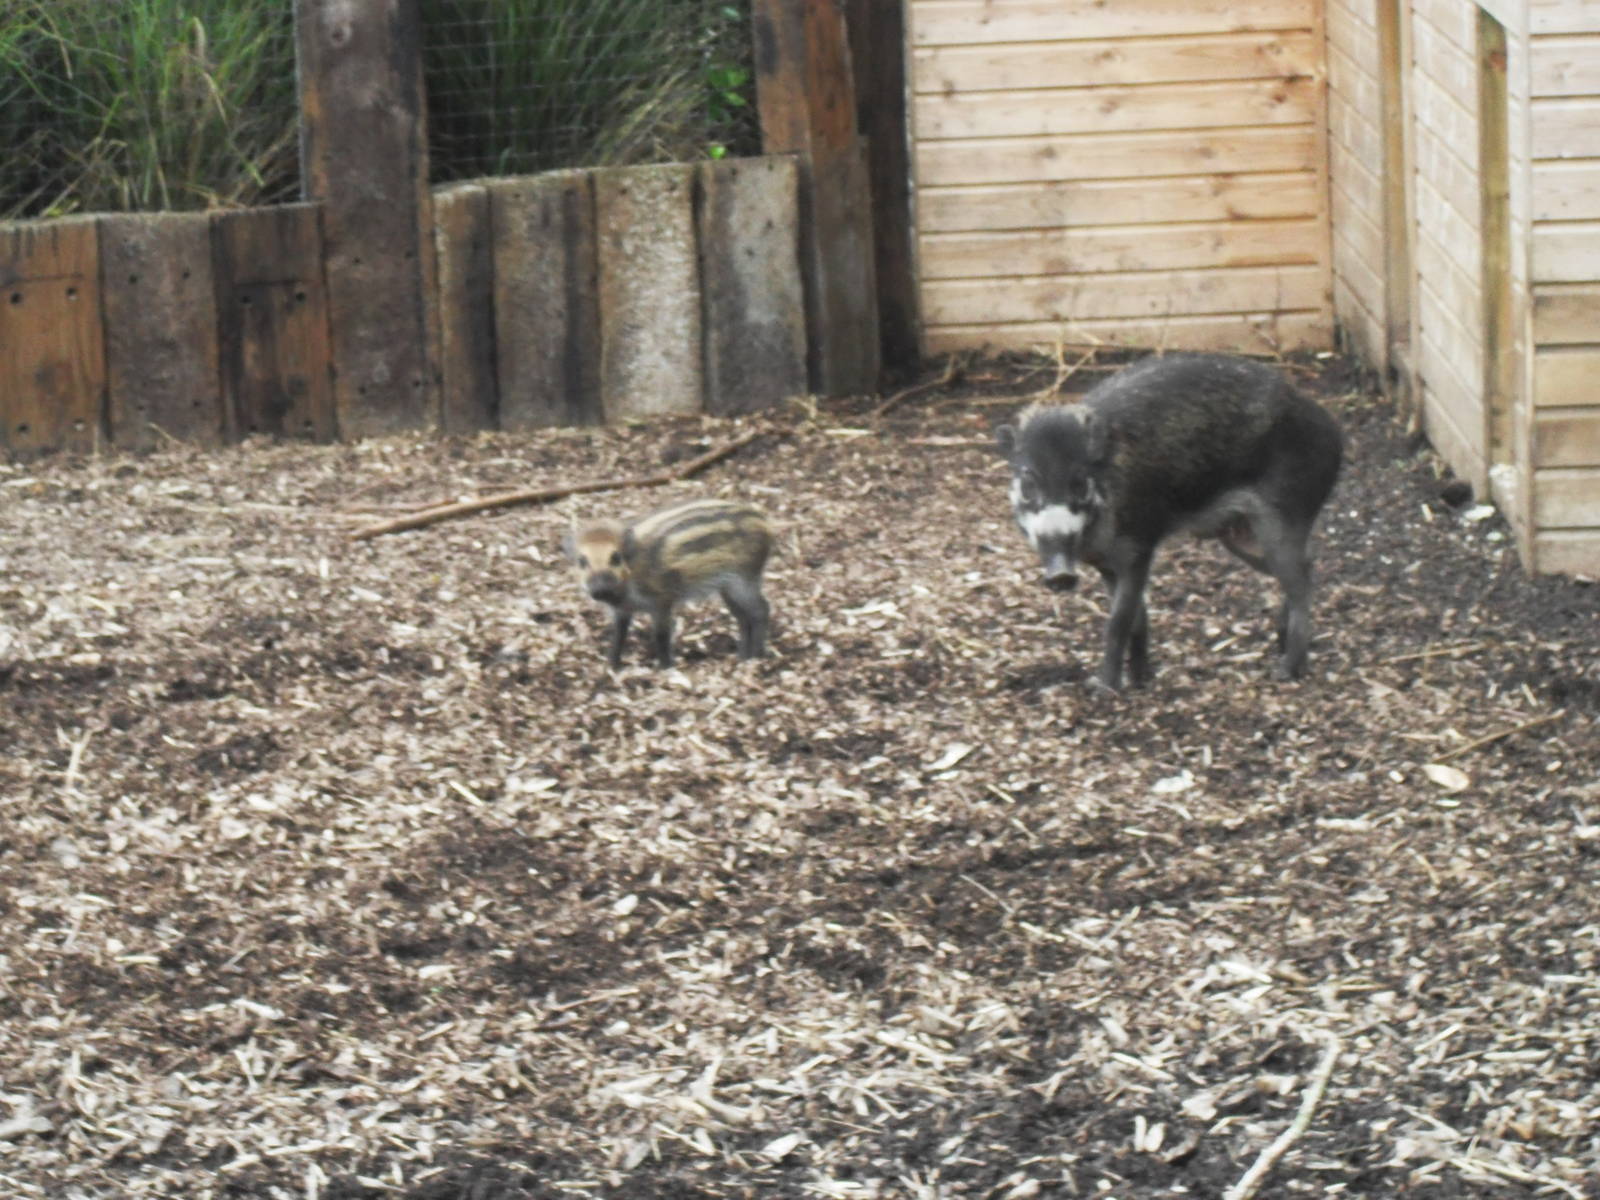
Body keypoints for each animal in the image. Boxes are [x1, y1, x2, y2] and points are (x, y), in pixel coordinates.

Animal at [564, 497, 773, 668]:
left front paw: (665, 668)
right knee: (742, 617)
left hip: (745, 579)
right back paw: (742, 656)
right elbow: (618, 635)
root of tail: (764, 523)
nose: (600, 590)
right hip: (727, 588)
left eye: (615, 558)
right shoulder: (621, 611)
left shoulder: (662, 601)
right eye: (582, 561)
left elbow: (661, 635)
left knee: (761, 609)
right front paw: (612, 666)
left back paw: (756, 656)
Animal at [995, 353, 1343, 691]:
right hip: (1242, 538)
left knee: (1302, 582)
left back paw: (1286, 672)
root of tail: (1334, 432)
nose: (1061, 577)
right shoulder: (1106, 565)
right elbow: (1137, 618)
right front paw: (1140, 680)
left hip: (1283, 519)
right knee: (1305, 565)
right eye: (1028, 484)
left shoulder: (1139, 548)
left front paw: (1105, 689)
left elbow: (1118, 622)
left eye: (1079, 482)